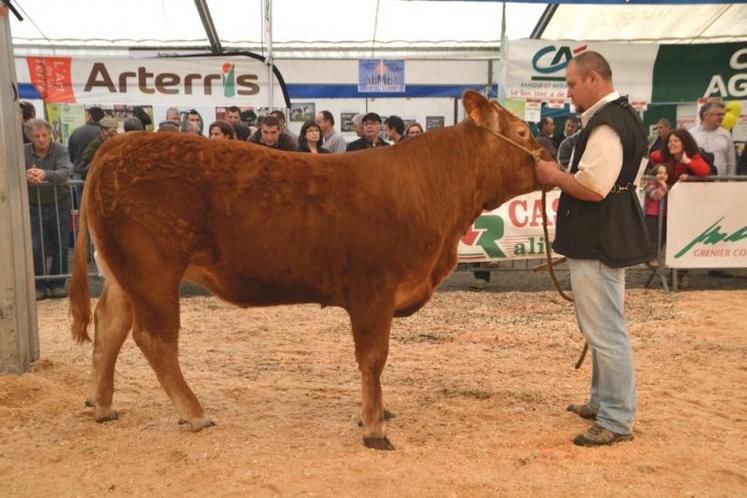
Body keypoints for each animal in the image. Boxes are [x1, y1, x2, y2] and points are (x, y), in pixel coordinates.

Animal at [70, 90, 548, 452]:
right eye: (523, 132)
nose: (552, 158)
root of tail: (118, 145)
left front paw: (376, 413)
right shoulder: (373, 290)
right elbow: (373, 358)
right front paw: (375, 427)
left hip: (123, 274)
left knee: (109, 327)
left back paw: (103, 405)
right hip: (154, 270)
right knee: (154, 339)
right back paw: (195, 413)